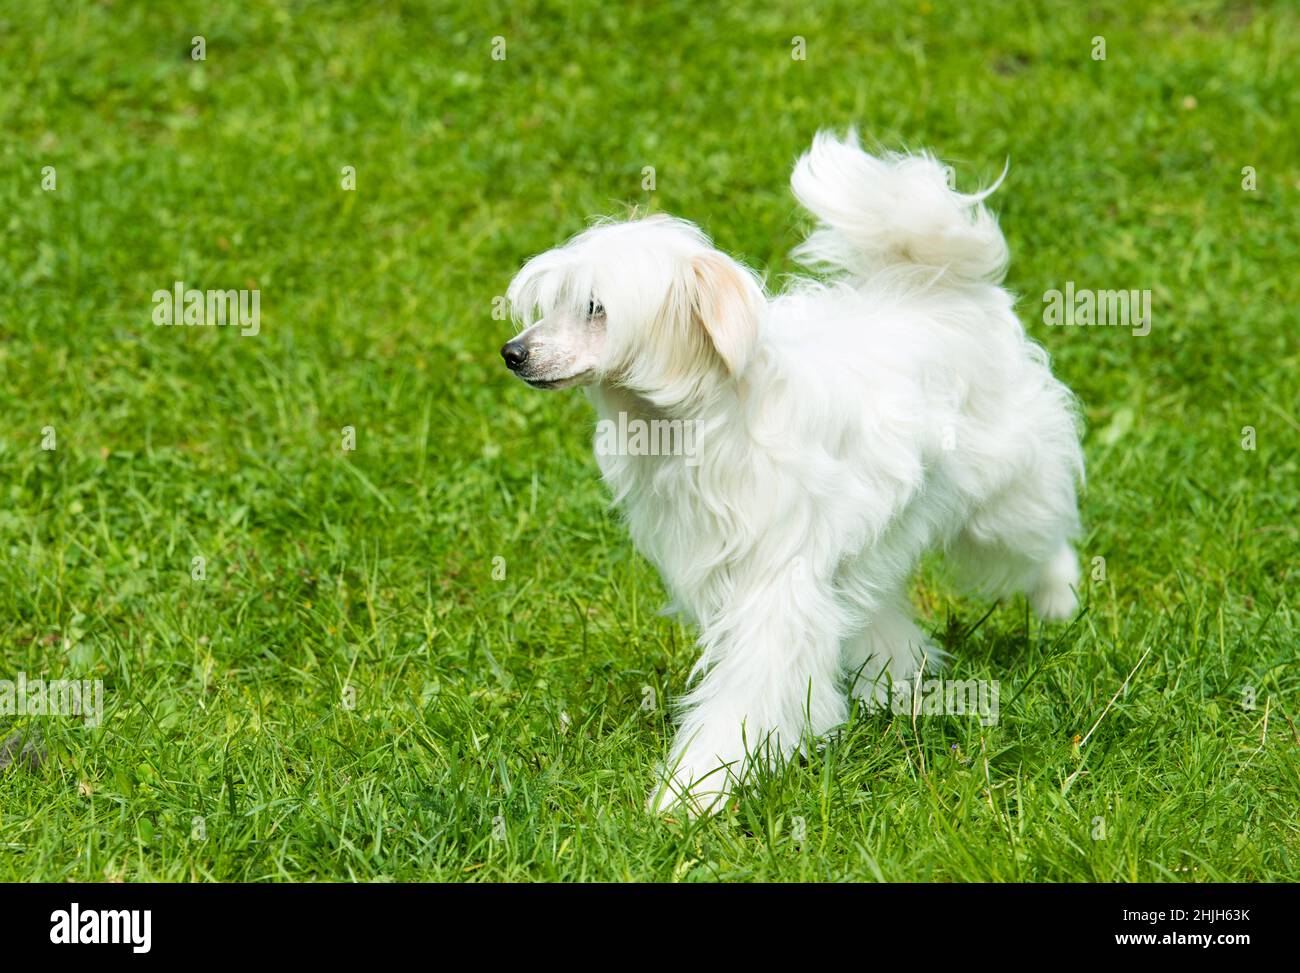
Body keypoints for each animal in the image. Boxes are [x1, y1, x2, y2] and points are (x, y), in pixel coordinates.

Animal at [501, 129, 1081, 811]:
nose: (513, 353)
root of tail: (939, 284)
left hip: (1004, 500)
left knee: (1042, 537)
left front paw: (695, 788)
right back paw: (892, 679)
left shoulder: (777, 584)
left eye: (595, 307)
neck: (703, 420)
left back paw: (1059, 603)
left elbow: (749, 689)